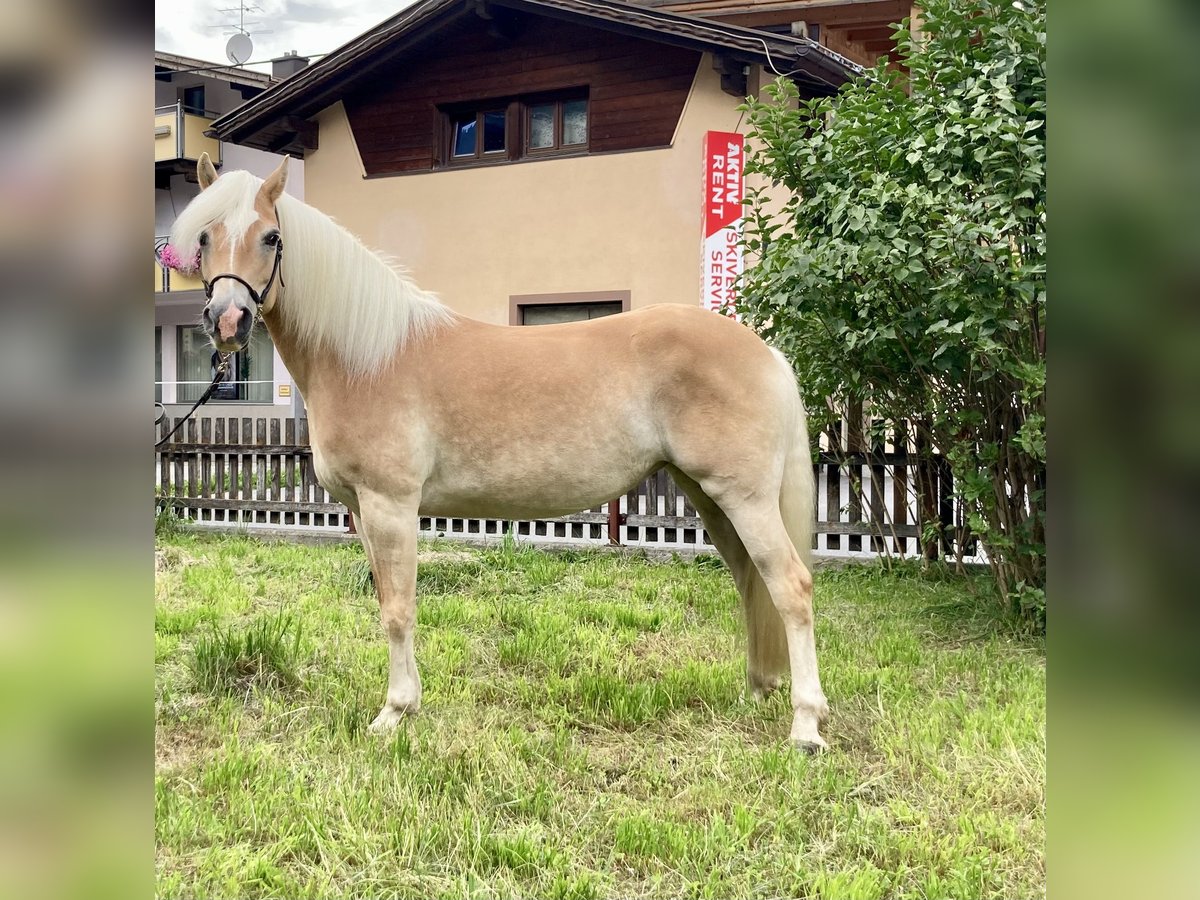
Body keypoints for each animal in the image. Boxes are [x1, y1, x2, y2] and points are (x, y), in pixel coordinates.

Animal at [164, 154, 830, 753]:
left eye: (271, 236)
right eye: (205, 236)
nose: (227, 321)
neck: (366, 356)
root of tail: (765, 352)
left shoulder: (390, 506)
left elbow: (398, 609)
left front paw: (395, 712)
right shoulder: (362, 511)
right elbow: (385, 601)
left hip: (742, 498)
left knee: (790, 586)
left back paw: (805, 726)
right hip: (709, 496)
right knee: (751, 580)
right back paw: (756, 691)